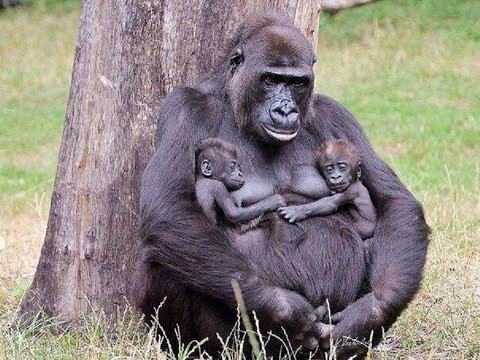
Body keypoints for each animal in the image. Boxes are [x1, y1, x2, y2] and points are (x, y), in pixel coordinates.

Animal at [134, 11, 428, 358]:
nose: (285, 110)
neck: (236, 102)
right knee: (165, 259)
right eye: (271, 80)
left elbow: (394, 201)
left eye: (296, 82)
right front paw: (286, 310)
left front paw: (367, 316)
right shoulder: (184, 108)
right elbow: (170, 208)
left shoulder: (336, 115)